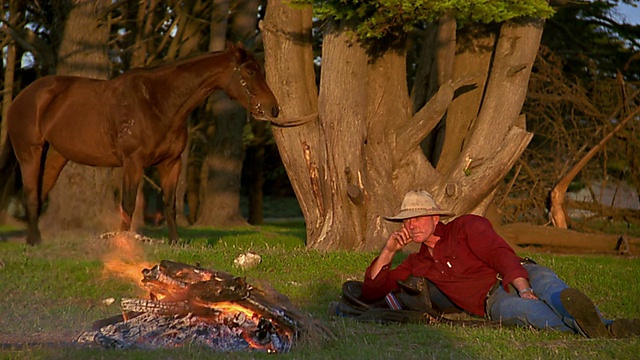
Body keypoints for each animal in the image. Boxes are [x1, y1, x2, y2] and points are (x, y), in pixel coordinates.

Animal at [0, 42, 280, 245]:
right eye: (249, 72)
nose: (273, 109)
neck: (158, 101)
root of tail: (23, 97)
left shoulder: (171, 163)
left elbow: (169, 205)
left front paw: (175, 243)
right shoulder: (133, 162)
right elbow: (128, 204)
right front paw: (123, 244)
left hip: (56, 156)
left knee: (38, 194)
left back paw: (36, 239)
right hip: (30, 153)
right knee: (30, 195)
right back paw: (34, 242)